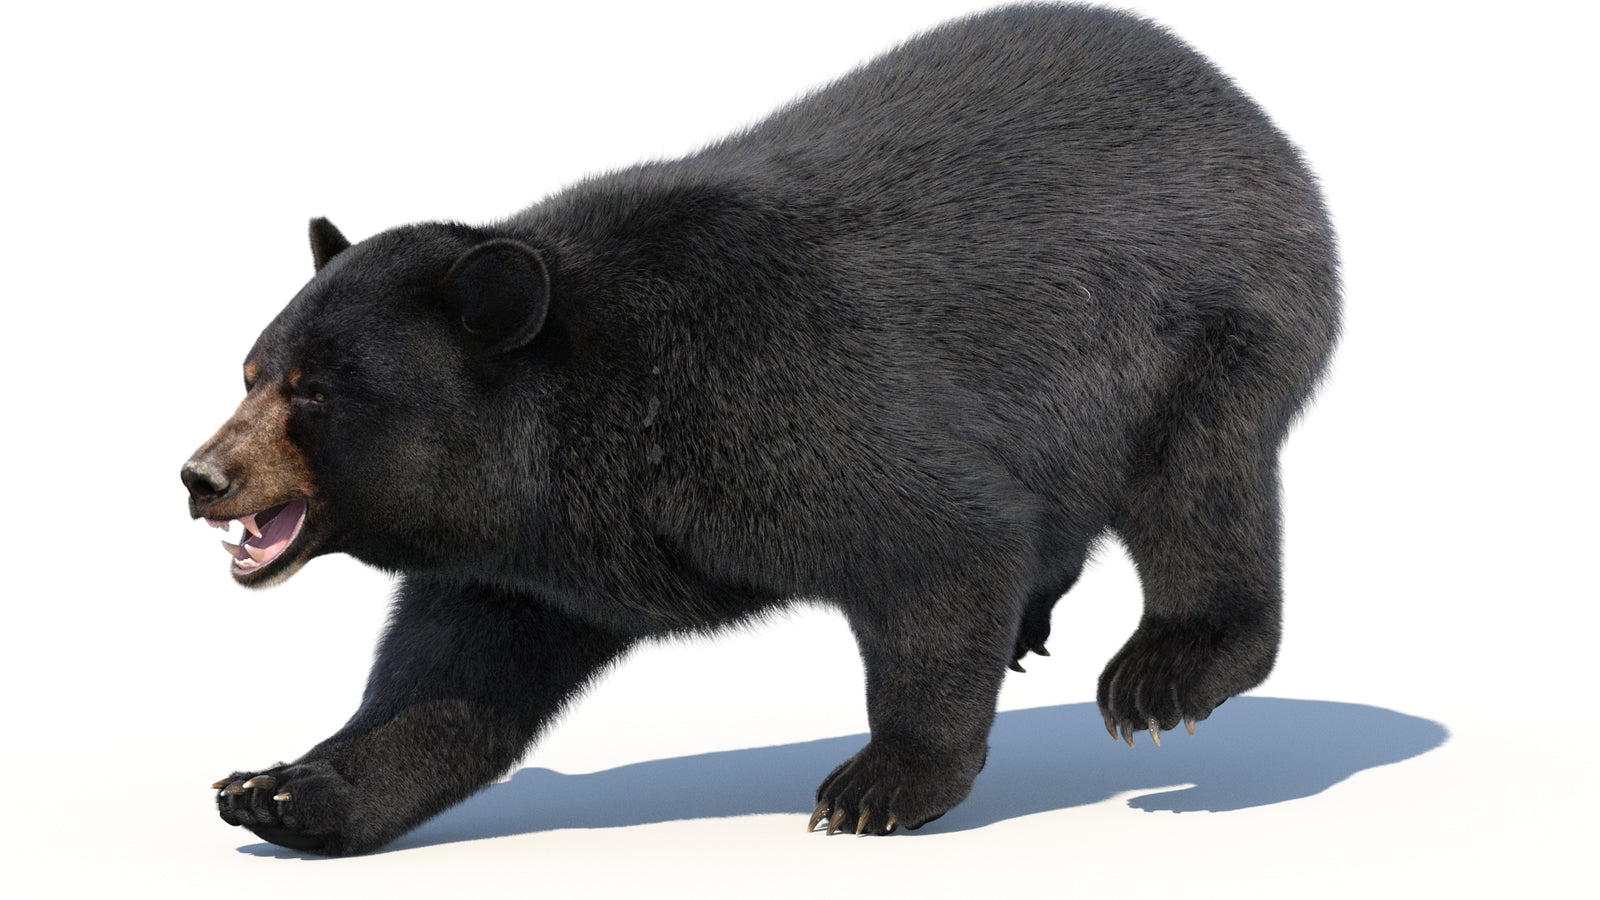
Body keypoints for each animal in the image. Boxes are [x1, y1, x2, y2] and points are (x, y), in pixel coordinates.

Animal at [182, 3, 1339, 855]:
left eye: (314, 392)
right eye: (249, 372)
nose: (200, 476)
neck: (585, 429)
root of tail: (1239, 103)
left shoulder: (777, 405)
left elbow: (944, 543)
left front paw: (880, 784)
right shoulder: (527, 558)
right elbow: (448, 680)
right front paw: (281, 788)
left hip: (1210, 328)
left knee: (1198, 488)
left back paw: (1163, 674)